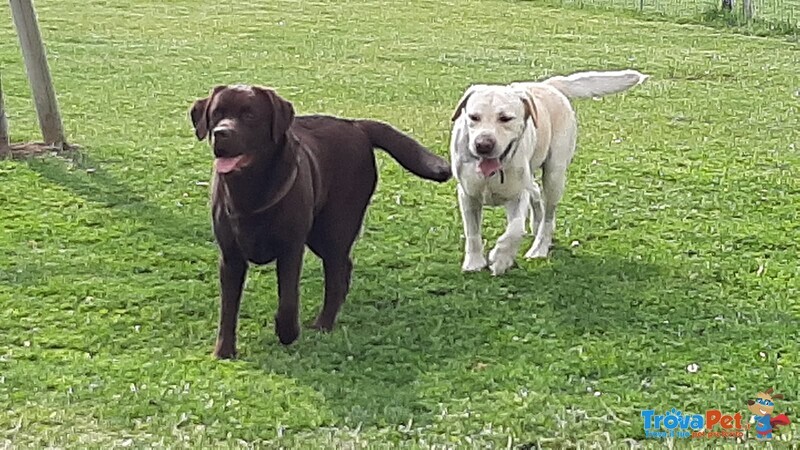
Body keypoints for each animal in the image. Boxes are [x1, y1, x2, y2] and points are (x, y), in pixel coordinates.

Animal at [188, 84, 450, 358]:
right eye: (216, 114)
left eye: (249, 115)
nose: (221, 133)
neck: (249, 192)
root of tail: (356, 125)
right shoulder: (230, 256)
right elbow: (228, 307)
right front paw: (224, 350)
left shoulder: (291, 248)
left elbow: (288, 299)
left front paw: (287, 332)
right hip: (320, 236)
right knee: (344, 268)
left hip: (334, 228)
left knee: (336, 274)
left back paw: (324, 323)